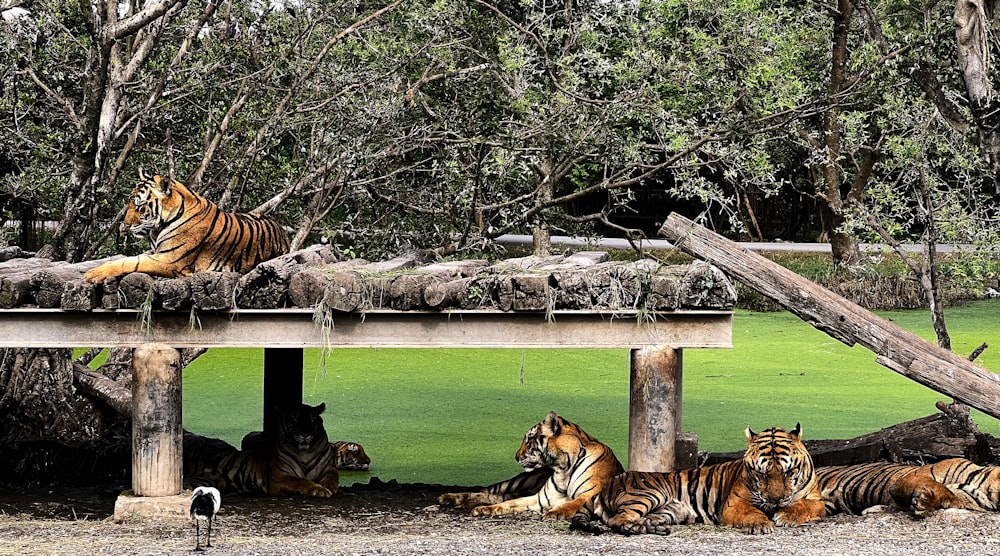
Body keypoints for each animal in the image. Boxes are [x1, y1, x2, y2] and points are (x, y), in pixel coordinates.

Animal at [85, 170, 290, 284]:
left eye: (140, 206)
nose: (126, 225)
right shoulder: (156, 252)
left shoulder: (170, 260)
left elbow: (131, 262)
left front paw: (93, 274)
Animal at [185, 402, 344, 498]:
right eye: (294, 419)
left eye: (312, 420)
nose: (305, 434)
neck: (305, 452)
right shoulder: (280, 476)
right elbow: (300, 481)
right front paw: (320, 490)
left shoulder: (328, 467)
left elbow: (333, 475)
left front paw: (327, 486)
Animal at [440, 410, 624, 520]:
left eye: (528, 440)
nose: (516, 457)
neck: (563, 467)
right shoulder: (539, 499)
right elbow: (511, 503)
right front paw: (485, 509)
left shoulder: (589, 494)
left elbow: (571, 504)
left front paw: (554, 513)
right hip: (517, 481)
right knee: (488, 491)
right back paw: (450, 498)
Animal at [572, 424, 828, 536]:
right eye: (762, 473)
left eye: (788, 471)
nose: (775, 501)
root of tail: (607, 485)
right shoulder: (734, 503)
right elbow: (751, 512)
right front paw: (760, 523)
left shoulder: (817, 501)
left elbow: (803, 505)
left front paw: (785, 515)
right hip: (648, 494)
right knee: (619, 519)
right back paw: (637, 528)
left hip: (671, 510)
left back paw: (652, 527)